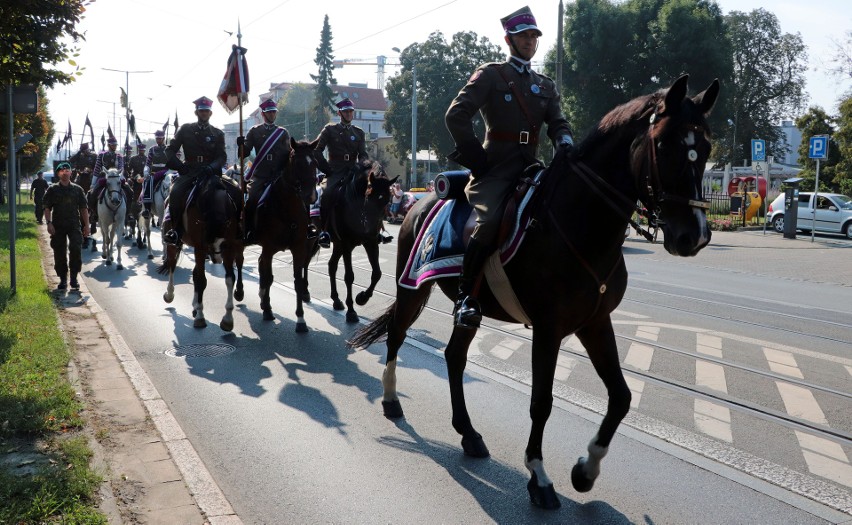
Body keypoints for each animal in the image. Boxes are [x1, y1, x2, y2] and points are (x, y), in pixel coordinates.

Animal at [158, 171, 245, 328]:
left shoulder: (228, 247)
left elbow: (230, 278)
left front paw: (228, 318)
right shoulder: (200, 247)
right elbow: (201, 280)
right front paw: (200, 316)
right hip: (173, 242)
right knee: (172, 266)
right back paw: (170, 294)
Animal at [255, 137, 322, 330]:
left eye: (315, 163)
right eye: (297, 163)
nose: (311, 196)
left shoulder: (299, 248)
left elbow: (298, 281)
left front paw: (301, 320)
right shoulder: (269, 248)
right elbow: (269, 277)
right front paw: (268, 310)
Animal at [324, 162, 398, 322]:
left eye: (387, 200)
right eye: (369, 195)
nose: (370, 226)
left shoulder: (371, 243)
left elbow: (377, 273)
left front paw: (362, 298)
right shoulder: (347, 244)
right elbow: (349, 276)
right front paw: (351, 311)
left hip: (337, 244)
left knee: (332, 265)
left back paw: (336, 300)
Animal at [348, 74, 720, 508]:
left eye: (706, 147)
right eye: (663, 145)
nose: (694, 235)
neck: (580, 221)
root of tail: (420, 201)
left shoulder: (595, 322)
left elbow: (621, 396)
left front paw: (586, 470)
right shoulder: (548, 329)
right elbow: (541, 401)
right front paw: (539, 477)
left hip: (468, 308)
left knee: (454, 356)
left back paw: (468, 433)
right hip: (411, 288)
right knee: (396, 336)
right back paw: (391, 401)